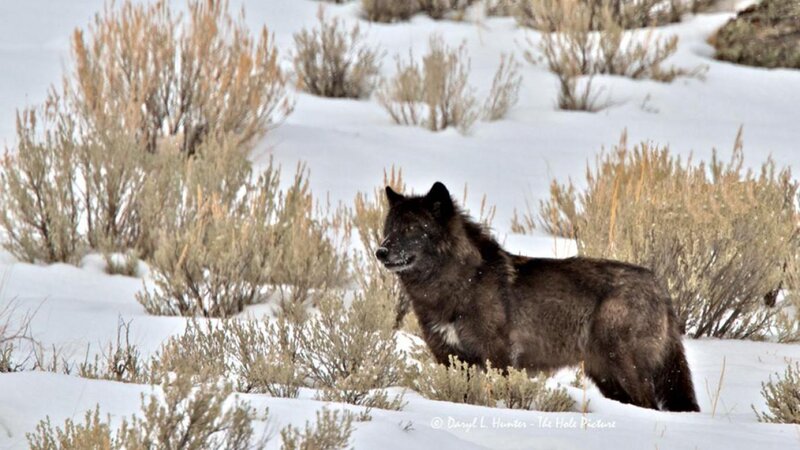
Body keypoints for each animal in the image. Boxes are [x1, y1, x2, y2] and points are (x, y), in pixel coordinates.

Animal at [376, 182, 699, 412]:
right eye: (389, 229)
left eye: (413, 229)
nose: (380, 251)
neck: (456, 283)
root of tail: (658, 284)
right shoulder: (450, 358)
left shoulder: (498, 358)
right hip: (607, 376)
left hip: (624, 367)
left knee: (650, 405)